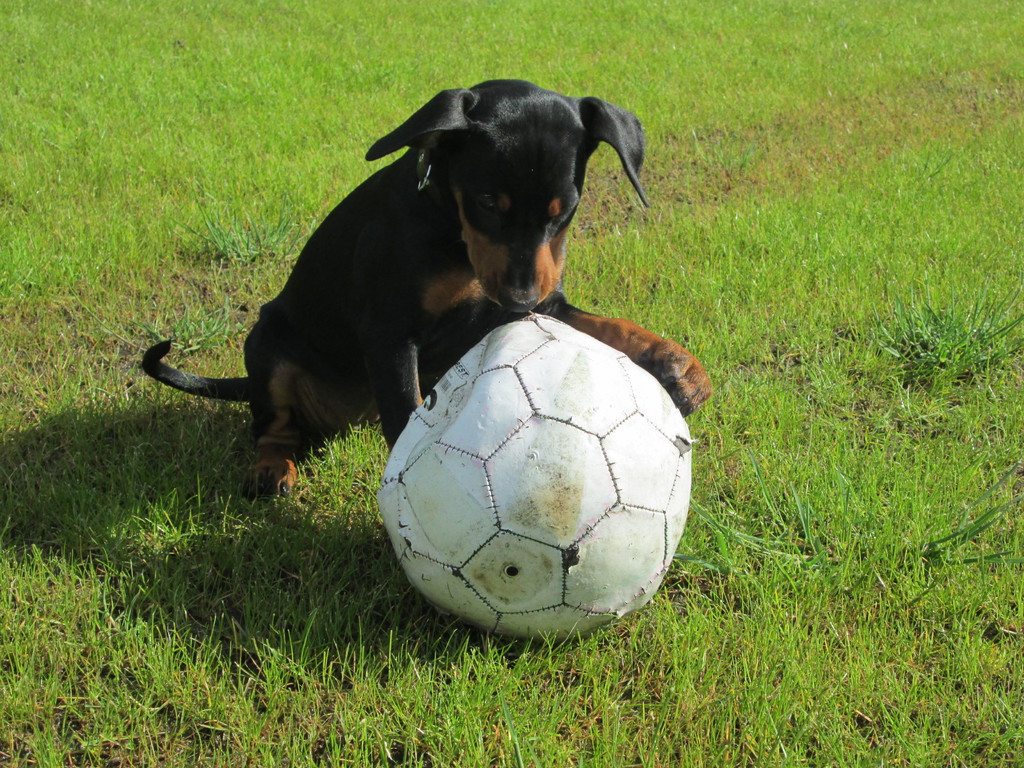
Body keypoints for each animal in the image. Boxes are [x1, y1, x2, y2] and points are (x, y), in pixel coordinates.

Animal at [142, 79, 711, 496]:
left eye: (565, 209)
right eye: (486, 202)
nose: (521, 300)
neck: (453, 235)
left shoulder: (549, 300)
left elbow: (608, 324)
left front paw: (678, 365)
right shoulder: (390, 334)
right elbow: (404, 419)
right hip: (267, 342)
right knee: (271, 425)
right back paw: (271, 469)